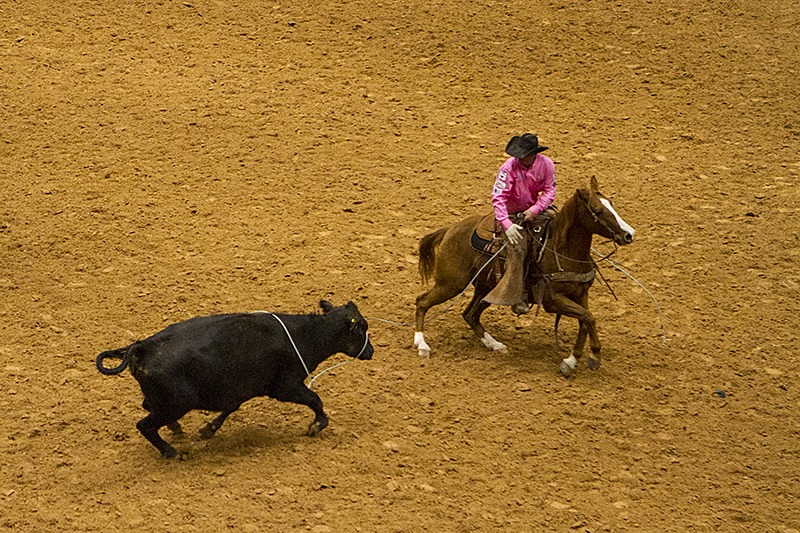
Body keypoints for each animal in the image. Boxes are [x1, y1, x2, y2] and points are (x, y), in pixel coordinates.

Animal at [96, 300, 374, 459]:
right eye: (363, 327)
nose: (371, 351)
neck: (306, 334)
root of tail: (142, 347)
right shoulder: (286, 386)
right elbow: (315, 399)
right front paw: (317, 425)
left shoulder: (237, 389)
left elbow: (230, 407)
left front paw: (208, 429)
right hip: (175, 403)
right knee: (145, 425)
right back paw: (171, 452)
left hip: (164, 402)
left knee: (148, 409)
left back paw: (176, 430)